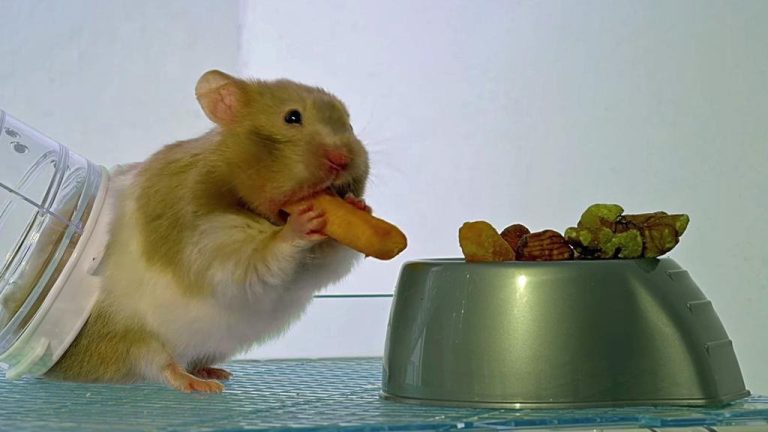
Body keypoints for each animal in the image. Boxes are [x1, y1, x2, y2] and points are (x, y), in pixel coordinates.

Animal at [44, 70, 370, 393]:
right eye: (292, 117)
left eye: (350, 123)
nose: (342, 160)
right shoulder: (205, 242)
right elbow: (257, 255)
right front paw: (300, 224)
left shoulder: (313, 269)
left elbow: (332, 256)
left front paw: (359, 207)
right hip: (130, 334)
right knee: (160, 365)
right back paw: (201, 385)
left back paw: (215, 372)